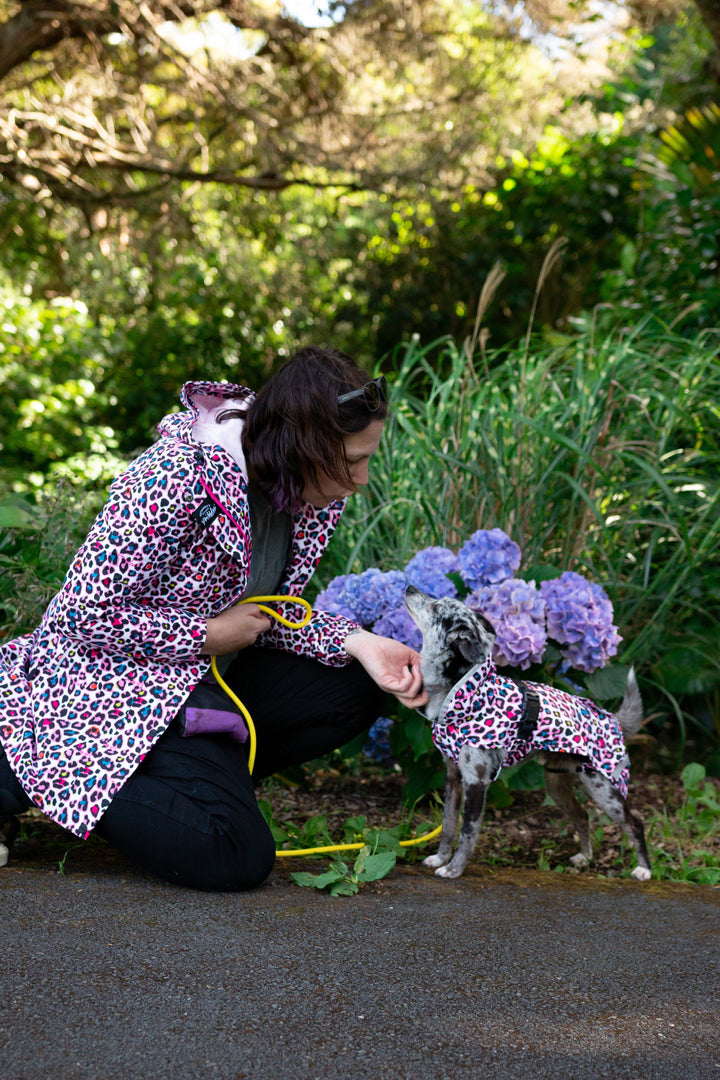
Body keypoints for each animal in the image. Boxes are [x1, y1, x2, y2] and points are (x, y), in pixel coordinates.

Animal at [405, 587, 651, 881]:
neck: (461, 691)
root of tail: (611, 717)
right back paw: (585, 857)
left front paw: (454, 869)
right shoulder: (453, 778)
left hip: (604, 790)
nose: (409, 588)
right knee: (582, 816)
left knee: (635, 823)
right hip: (557, 785)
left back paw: (644, 869)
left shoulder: (477, 782)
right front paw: (441, 858)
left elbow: (467, 833)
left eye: (435, 607)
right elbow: (449, 825)